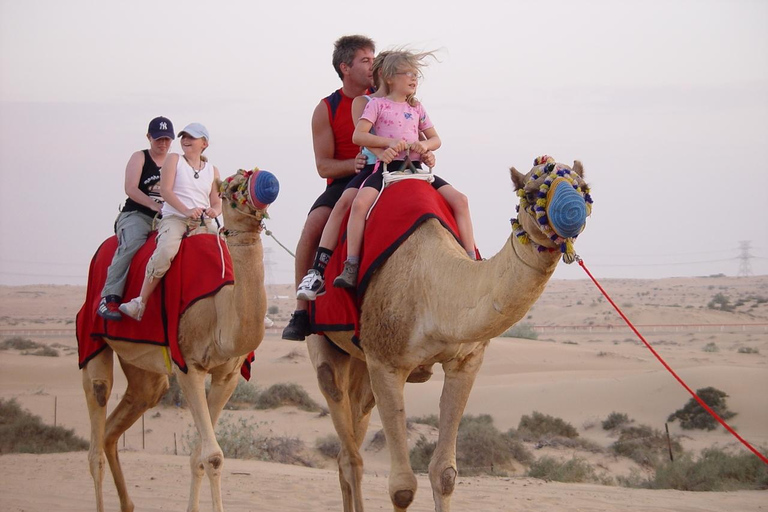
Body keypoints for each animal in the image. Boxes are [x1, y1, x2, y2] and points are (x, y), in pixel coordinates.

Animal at [81, 170, 278, 510]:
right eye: (230, 185)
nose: (266, 183)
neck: (219, 308)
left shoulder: (228, 375)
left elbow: (199, 455)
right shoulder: (189, 365)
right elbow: (212, 456)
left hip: (145, 370)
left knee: (120, 421)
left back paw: (128, 504)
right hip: (92, 339)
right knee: (96, 429)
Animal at [308, 158, 592, 510]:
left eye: (584, 187)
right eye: (531, 193)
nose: (572, 213)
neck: (434, 288)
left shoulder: (466, 362)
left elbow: (444, 474)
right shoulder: (386, 363)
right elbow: (402, 487)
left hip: (361, 362)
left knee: (353, 428)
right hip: (326, 342)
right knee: (346, 442)